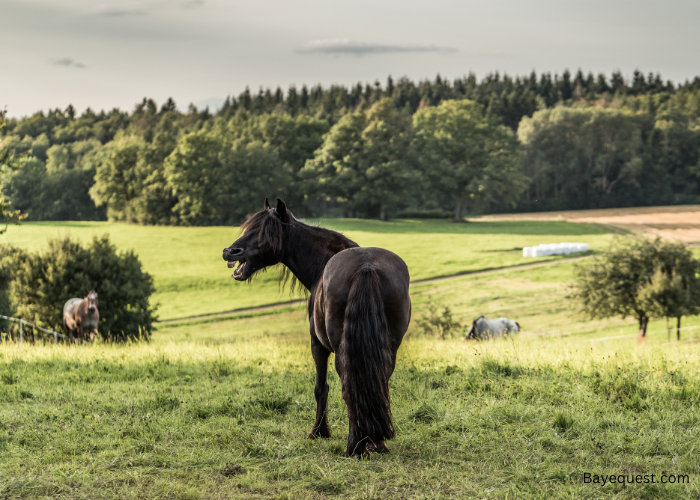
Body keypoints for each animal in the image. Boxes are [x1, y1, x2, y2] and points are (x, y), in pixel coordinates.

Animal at [223, 199, 410, 458]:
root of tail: (366, 267)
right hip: (388, 348)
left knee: (349, 386)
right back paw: (376, 442)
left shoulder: (317, 344)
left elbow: (321, 387)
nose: (230, 252)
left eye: (265, 232)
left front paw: (319, 431)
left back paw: (355, 445)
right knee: (376, 383)